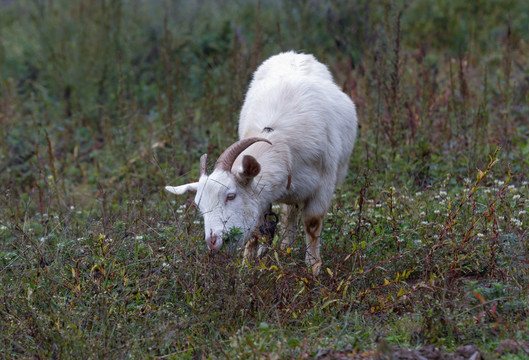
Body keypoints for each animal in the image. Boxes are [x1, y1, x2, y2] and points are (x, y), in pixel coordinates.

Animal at [166, 51, 354, 276]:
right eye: (198, 205)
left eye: (231, 196)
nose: (212, 241)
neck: (280, 143)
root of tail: (295, 54)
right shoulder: (262, 197)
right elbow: (257, 229)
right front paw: (246, 268)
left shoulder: (323, 184)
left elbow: (312, 223)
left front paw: (313, 268)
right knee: (289, 214)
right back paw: (285, 248)